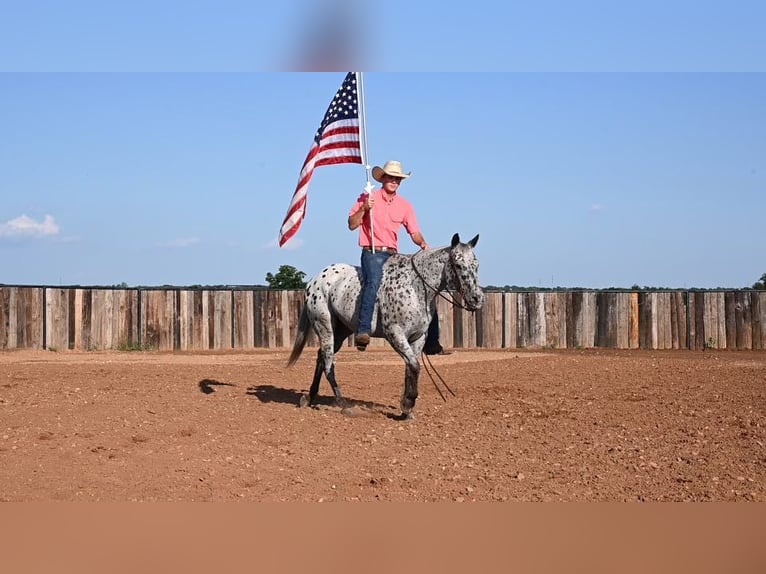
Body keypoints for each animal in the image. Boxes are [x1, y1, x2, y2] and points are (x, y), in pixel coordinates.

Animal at [288, 233, 486, 418]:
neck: (414, 287)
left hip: (341, 331)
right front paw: (407, 403)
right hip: (324, 326)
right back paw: (343, 404)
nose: (477, 299)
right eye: (458, 265)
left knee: (321, 357)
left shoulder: (418, 337)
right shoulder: (395, 333)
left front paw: (407, 410)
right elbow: (414, 365)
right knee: (329, 363)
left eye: (476, 265)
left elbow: (411, 368)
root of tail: (314, 281)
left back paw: (309, 397)